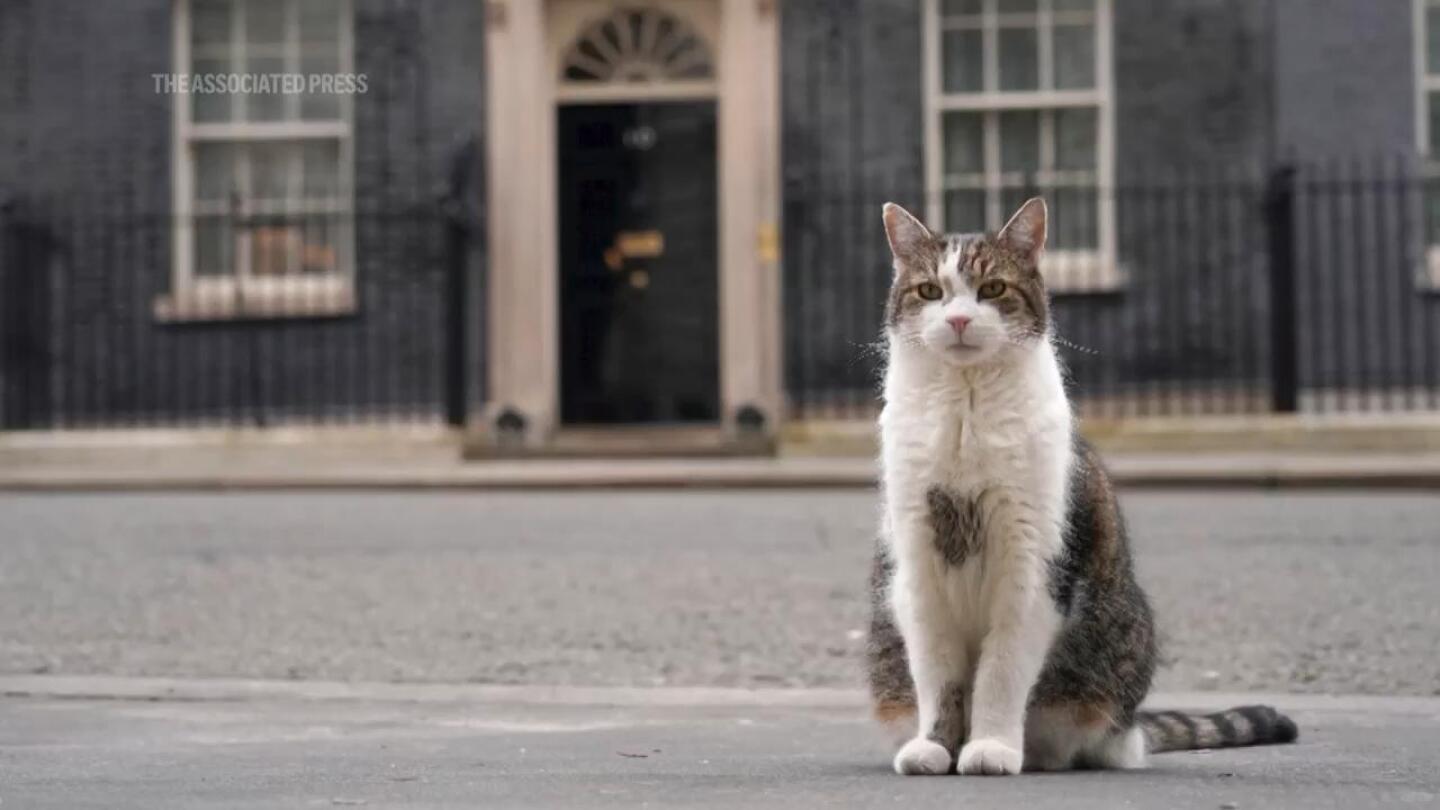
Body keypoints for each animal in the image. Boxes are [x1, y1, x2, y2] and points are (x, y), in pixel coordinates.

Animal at [858, 198, 1301, 772]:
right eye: (930, 291)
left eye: (993, 289)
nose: (957, 319)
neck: (965, 409)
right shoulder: (917, 566)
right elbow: (938, 675)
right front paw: (935, 746)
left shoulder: (1032, 565)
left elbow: (1001, 671)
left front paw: (991, 746)